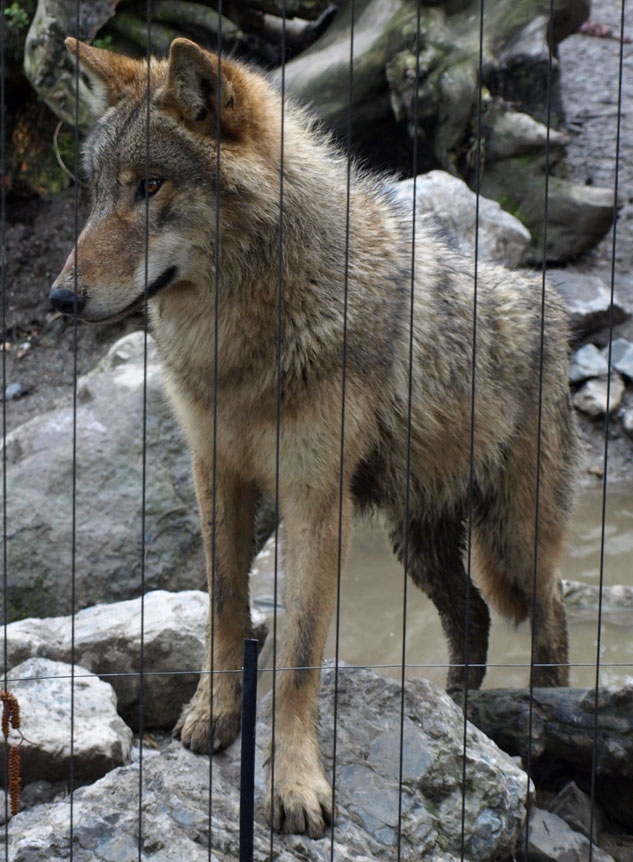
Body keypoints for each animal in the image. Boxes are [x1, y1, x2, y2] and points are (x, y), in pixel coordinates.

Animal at [51, 37, 579, 838]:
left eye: (150, 186)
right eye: (99, 192)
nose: (58, 298)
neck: (240, 347)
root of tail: (543, 296)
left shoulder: (313, 499)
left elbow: (298, 652)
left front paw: (295, 784)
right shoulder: (218, 473)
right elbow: (226, 605)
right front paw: (213, 712)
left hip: (510, 540)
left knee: (549, 611)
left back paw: (542, 709)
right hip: (419, 540)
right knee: (473, 617)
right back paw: (463, 716)